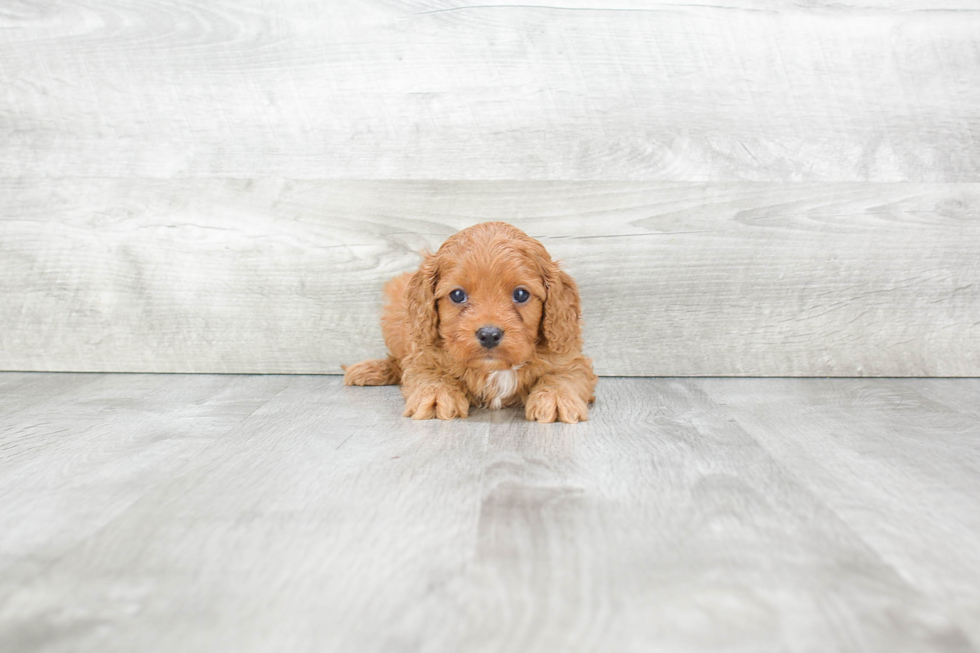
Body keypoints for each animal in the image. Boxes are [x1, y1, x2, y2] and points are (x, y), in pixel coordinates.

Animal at [342, 220, 596, 422]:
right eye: (457, 295)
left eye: (521, 294)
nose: (489, 335)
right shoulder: (422, 356)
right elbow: (431, 373)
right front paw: (436, 396)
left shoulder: (571, 358)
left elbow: (562, 375)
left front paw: (557, 398)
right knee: (397, 360)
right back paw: (370, 369)